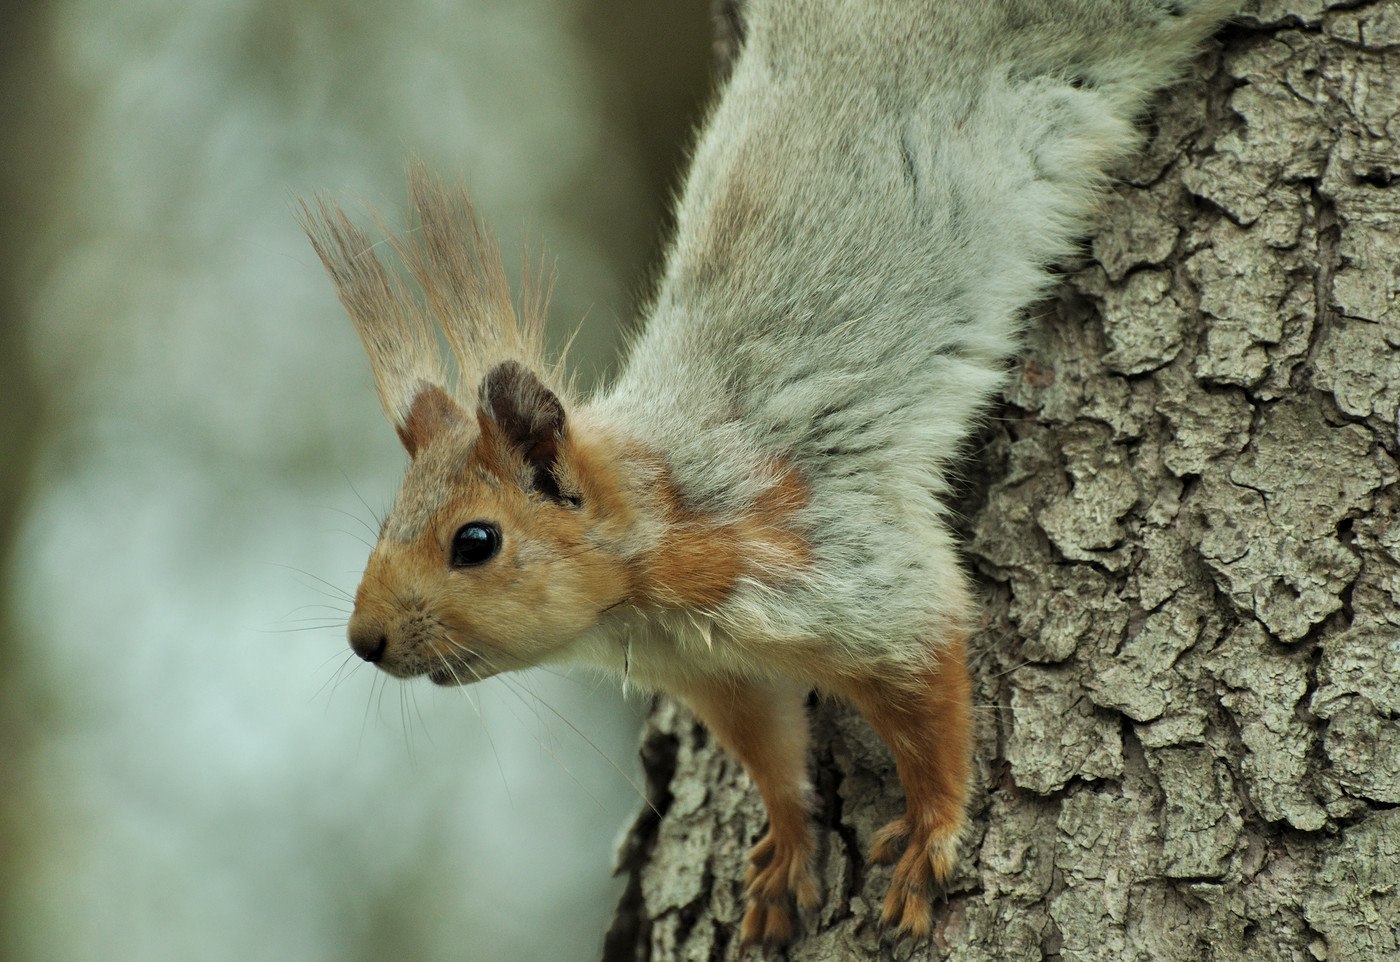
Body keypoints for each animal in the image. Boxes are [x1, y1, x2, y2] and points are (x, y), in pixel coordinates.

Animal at [301, 0, 1232, 946]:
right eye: (385, 524)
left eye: (475, 542)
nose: (365, 641)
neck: (652, 562)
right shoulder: (719, 675)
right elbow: (772, 752)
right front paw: (786, 847)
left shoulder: (833, 559)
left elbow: (928, 681)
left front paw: (930, 829)